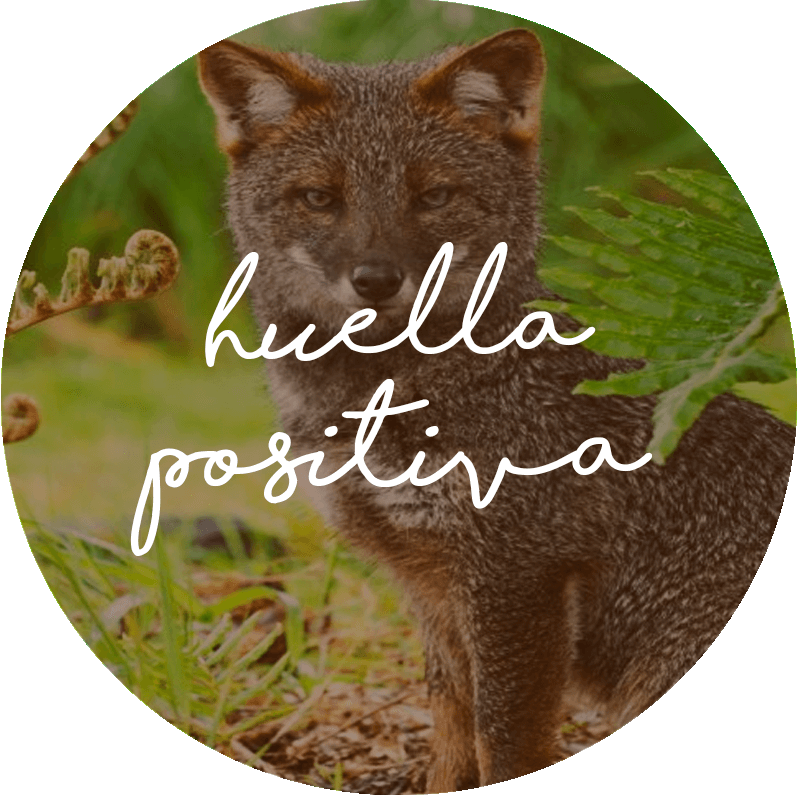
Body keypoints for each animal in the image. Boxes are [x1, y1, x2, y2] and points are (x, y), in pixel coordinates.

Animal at [197, 28, 794, 790]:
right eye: (319, 198)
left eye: (434, 195)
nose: (376, 279)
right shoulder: (432, 585)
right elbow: (453, 739)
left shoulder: (518, 574)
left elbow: (504, 741)